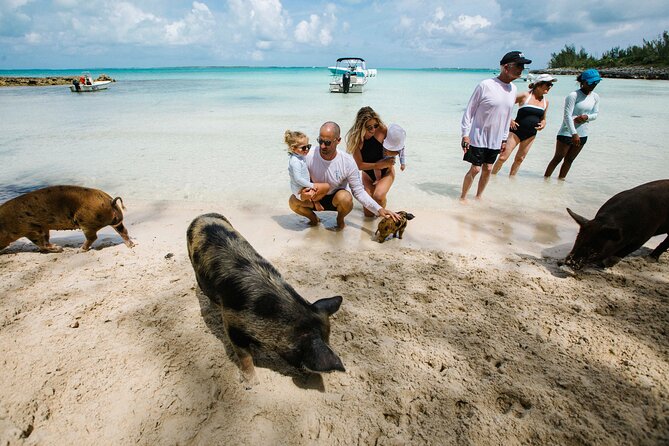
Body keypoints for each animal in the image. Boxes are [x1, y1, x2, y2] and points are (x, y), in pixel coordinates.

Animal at [0, 186, 134, 254]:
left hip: (86, 222)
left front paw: (59, 249)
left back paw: (80, 250)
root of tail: (110, 201)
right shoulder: (44, 227)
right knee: (123, 231)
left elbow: (41, 242)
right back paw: (131, 245)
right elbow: (45, 238)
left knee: (92, 237)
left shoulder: (30, 228)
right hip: (116, 221)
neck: (5, 222)